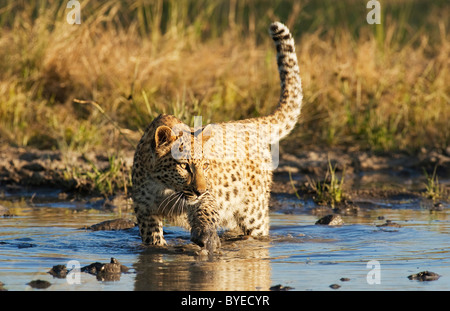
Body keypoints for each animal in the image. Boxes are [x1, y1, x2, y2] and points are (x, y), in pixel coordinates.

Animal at [132, 22, 304, 252]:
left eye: (206, 166)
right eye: (184, 166)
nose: (199, 190)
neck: (164, 188)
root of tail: (249, 123)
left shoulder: (207, 199)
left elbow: (205, 213)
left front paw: (206, 237)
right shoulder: (145, 211)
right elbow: (153, 241)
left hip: (254, 211)